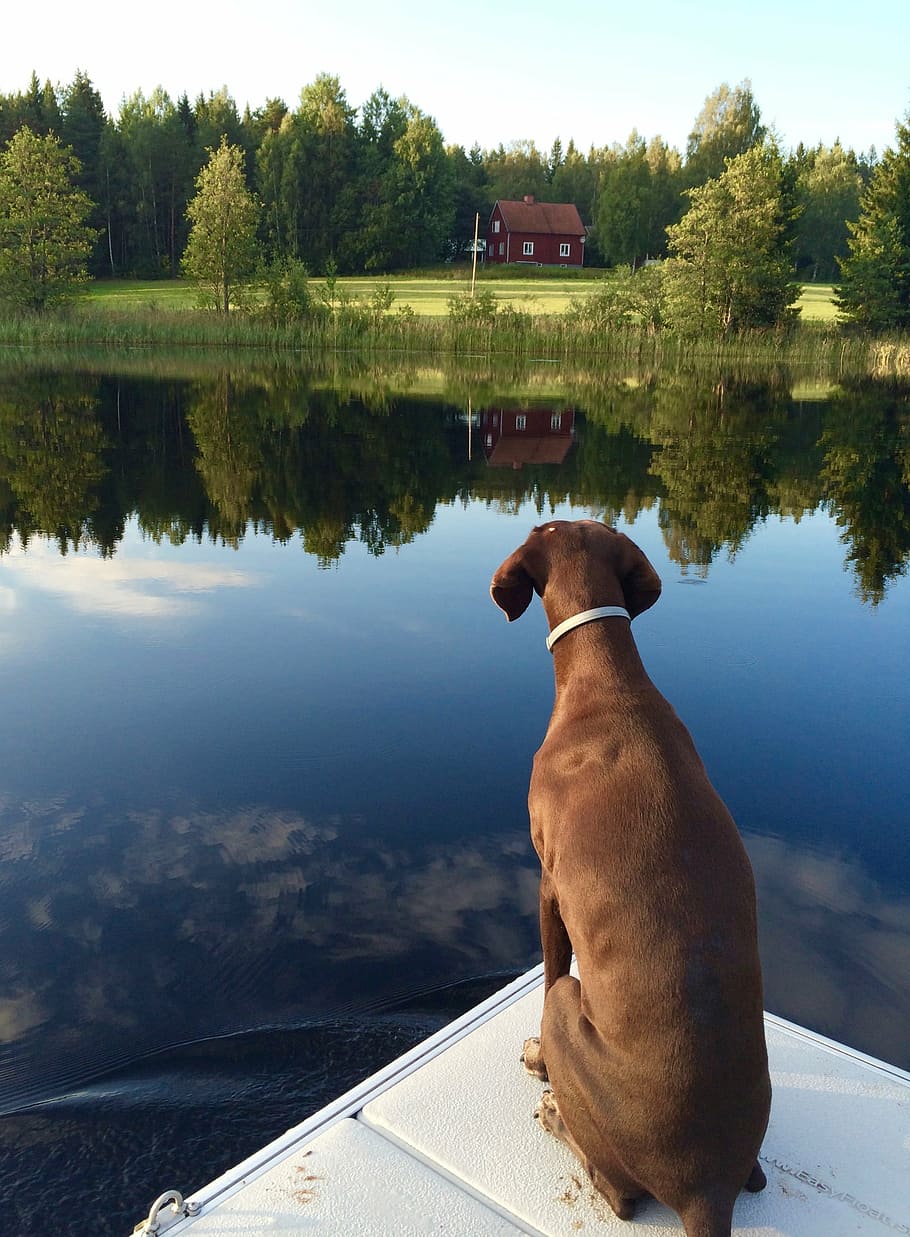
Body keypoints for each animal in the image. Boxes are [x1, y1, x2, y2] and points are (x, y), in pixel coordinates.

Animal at [489, 519, 766, 1237]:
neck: (607, 683)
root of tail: (704, 1190)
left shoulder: (548, 881)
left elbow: (550, 964)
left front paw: (537, 1061)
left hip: (571, 1011)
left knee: (617, 1192)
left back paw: (555, 1112)